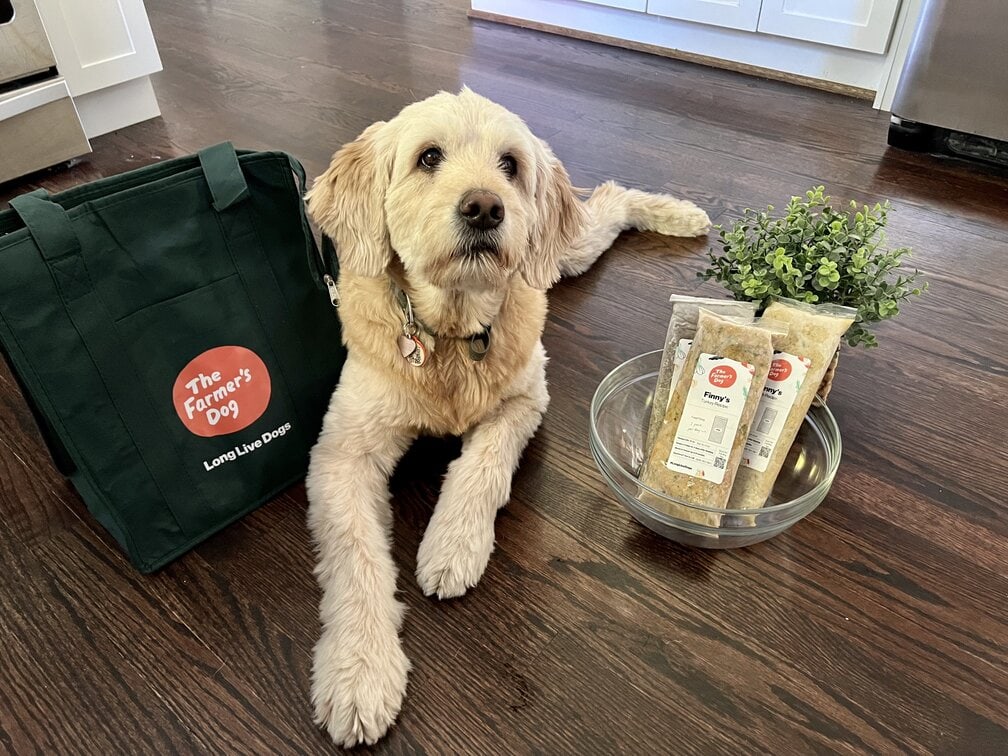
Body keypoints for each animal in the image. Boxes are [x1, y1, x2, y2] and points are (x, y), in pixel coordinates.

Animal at [302, 87, 705, 745]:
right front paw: (359, 670)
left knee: (611, 199)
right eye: (428, 156)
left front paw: (453, 546)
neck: (450, 333)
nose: (485, 207)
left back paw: (680, 213)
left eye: (510, 165)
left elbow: (481, 469)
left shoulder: (525, 400)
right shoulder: (341, 453)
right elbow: (355, 558)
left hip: (561, 250)